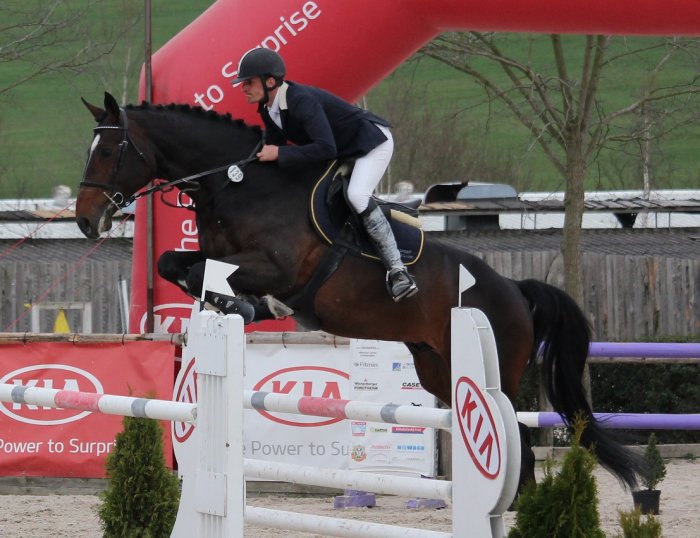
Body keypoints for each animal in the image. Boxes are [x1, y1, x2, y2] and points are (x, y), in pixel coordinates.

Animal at [76, 92, 645, 491]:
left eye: (109, 151)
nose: (84, 221)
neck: (238, 184)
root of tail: (514, 289)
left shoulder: (276, 266)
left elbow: (216, 277)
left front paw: (244, 304)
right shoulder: (211, 256)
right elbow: (176, 264)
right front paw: (239, 305)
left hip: (496, 368)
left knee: (517, 447)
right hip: (436, 366)